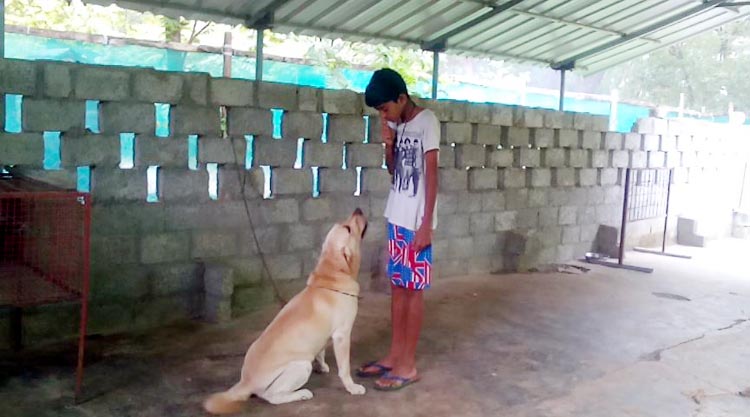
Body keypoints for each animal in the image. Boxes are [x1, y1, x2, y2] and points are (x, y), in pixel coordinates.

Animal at [203, 208, 368, 414]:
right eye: (348, 228)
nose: (358, 209)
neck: (332, 275)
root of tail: (245, 381)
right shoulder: (342, 335)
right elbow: (344, 368)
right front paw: (352, 387)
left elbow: (320, 351)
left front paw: (322, 366)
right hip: (301, 366)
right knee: (273, 397)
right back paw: (302, 393)